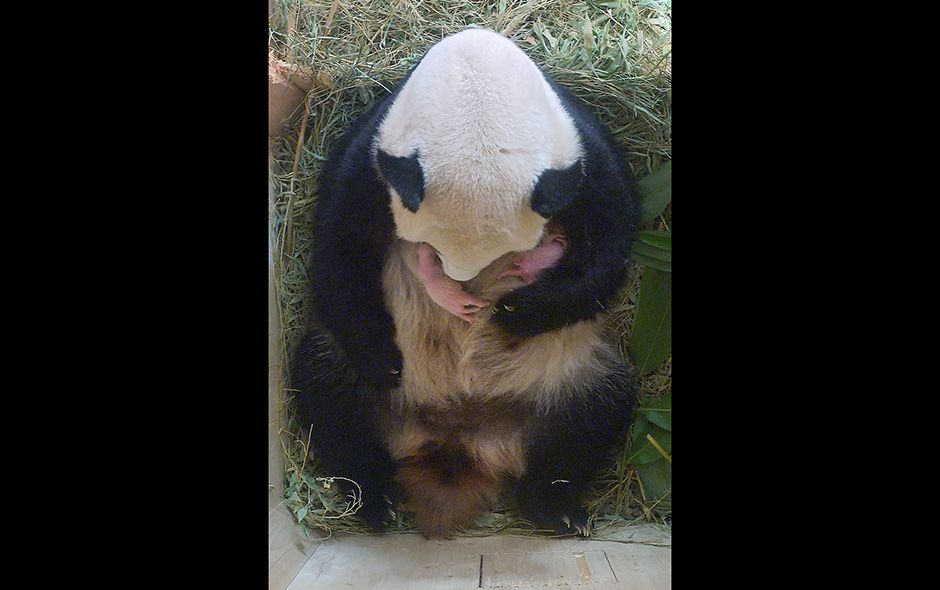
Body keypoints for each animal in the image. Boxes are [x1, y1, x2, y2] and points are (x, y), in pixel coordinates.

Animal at [291, 28, 639, 539]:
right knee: (328, 394)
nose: (459, 286)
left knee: (595, 413)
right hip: (361, 380)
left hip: (564, 374)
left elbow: (610, 246)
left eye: (499, 253)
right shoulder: (370, 152)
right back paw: (374, 497)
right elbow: (341, 248)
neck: (477, 77)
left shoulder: (581, 152)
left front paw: (516, 312)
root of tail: (455, 441)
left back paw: (554, 506)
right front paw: (383, 362)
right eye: (430, 248)